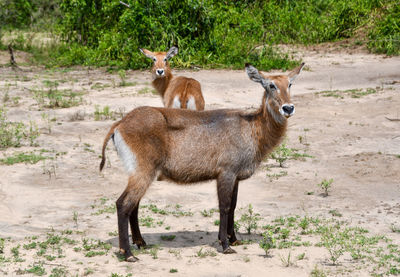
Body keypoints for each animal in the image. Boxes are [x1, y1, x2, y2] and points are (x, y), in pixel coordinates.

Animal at [99, 62, 304, 260]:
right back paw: (128, 253)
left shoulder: (236, 177)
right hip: (143, 171)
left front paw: (234, 239)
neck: (253, 128)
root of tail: (120, 123)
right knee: (123, 204)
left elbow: (234, 206)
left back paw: (141, 243)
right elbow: (224, 206)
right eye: (271, 85)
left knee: (133, 205)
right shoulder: (226, 173)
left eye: (289, 84)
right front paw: (225, 244)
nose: (288, 108)